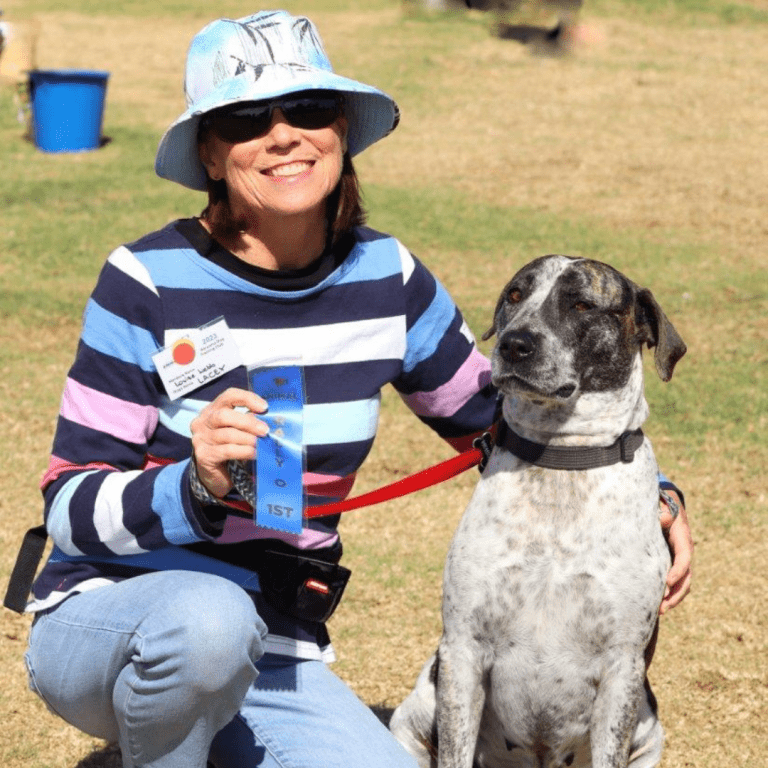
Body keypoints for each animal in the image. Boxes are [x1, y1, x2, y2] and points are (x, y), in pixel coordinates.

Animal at [392, 256, 688, 768]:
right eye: (515, 295)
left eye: (582, 304)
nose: (514, 344)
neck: (562, 457)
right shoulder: (462, 650)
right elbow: (454, 749)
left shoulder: (623, 668)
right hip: (415, 714)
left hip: (650, 730)